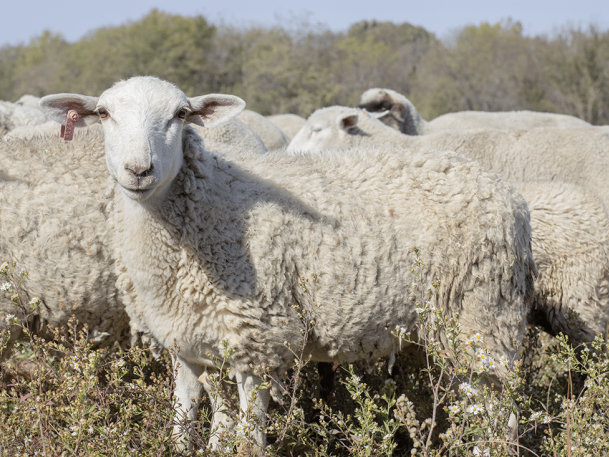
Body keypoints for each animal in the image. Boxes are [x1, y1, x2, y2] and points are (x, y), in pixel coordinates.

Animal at [38, 75, 536, 448]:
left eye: (181, 115)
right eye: (104, 114)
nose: (139, 171)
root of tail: (509, 195)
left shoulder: (256, 342)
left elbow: (247, 441)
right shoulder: (188, 345)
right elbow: (185, 430)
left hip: (485, 317)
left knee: (504, 416)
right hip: (467, 330)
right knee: (480, 407)